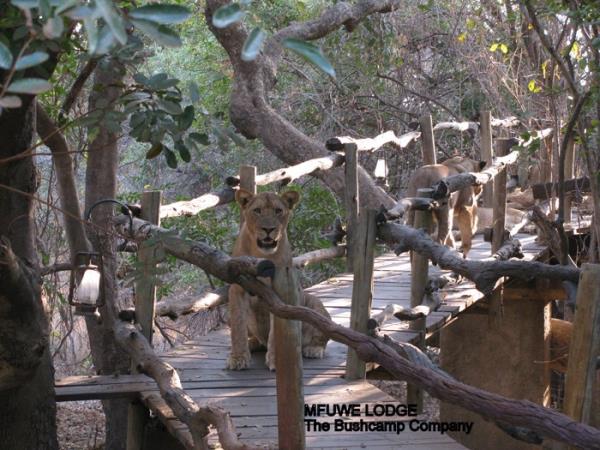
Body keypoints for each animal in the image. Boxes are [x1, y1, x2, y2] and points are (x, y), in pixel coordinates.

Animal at [226, 188, 330, 370]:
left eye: (278, 211)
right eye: (257, 210)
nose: (268, 229)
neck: (260, 253)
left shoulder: (280, 293)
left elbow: (276, 332)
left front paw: (277, 361)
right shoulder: (237, 287)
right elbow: (237, 326)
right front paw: (238, 357)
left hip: (315, 304)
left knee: (321, 336)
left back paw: (313, 349)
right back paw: (252, 343)